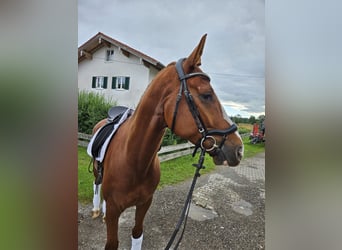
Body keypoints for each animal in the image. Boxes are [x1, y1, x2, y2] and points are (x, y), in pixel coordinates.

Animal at [89, 34, 243, 249]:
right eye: (206, 95)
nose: (239, 150)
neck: (134, 160)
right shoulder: (114, 211)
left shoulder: (145, 203)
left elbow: (137, 233)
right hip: (96, 170)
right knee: (96, 184)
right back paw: (97, 209)